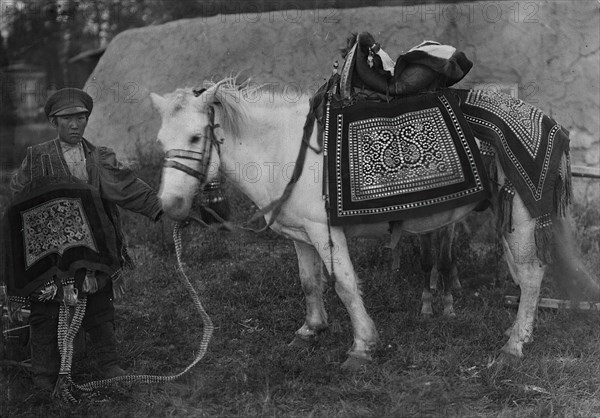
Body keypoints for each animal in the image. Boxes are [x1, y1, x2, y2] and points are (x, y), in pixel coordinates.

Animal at [152, 77, 588, 370]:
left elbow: (344, 285)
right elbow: (309, 283)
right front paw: (310, 331)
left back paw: (515, 345)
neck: (286, 146)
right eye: (160, 142)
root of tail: (549, 121)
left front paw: (362, 346)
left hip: (523, 216)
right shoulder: (301, 235)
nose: (170, 205)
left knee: (531, 276)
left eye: (196, 137)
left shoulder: (325, 232)